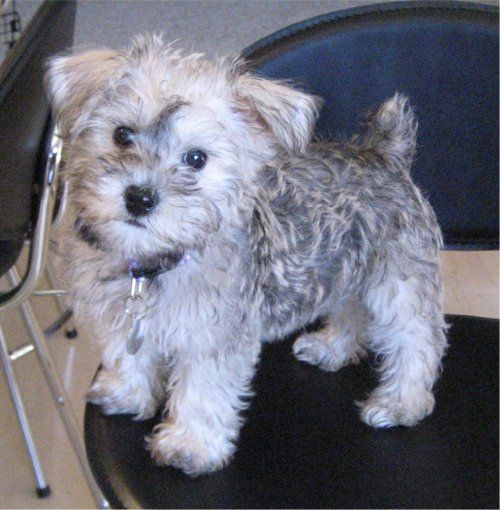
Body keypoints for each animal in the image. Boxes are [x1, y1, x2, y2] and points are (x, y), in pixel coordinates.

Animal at [46, 36, 446, 478]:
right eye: (122, 134)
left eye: (196, 158)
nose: (139, 197)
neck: (155, 264)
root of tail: (384, 152)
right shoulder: (121, 315)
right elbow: (126, 353)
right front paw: (128, 393)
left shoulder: (214, 338)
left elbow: (203, 391)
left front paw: (189, 444)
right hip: (341, 270)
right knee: (350, 311)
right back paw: (333, 347)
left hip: (397, 284)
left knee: (416, 341)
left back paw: (401, 403)